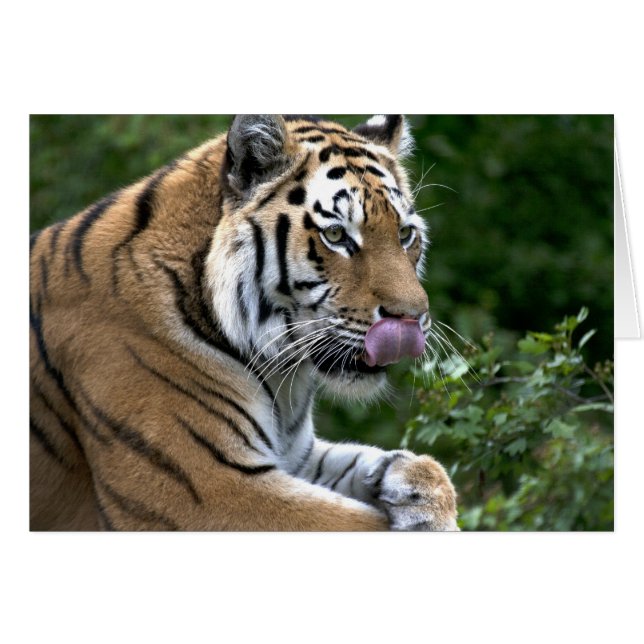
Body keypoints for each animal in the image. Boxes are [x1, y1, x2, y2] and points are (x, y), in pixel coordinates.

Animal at [29, 114, 458, 531]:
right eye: (336, 234)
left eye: (405, 234)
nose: (413, 317)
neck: (281, 376)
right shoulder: (202, 488)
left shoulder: (295, 455)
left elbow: (407, 465)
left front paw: (414, 488)